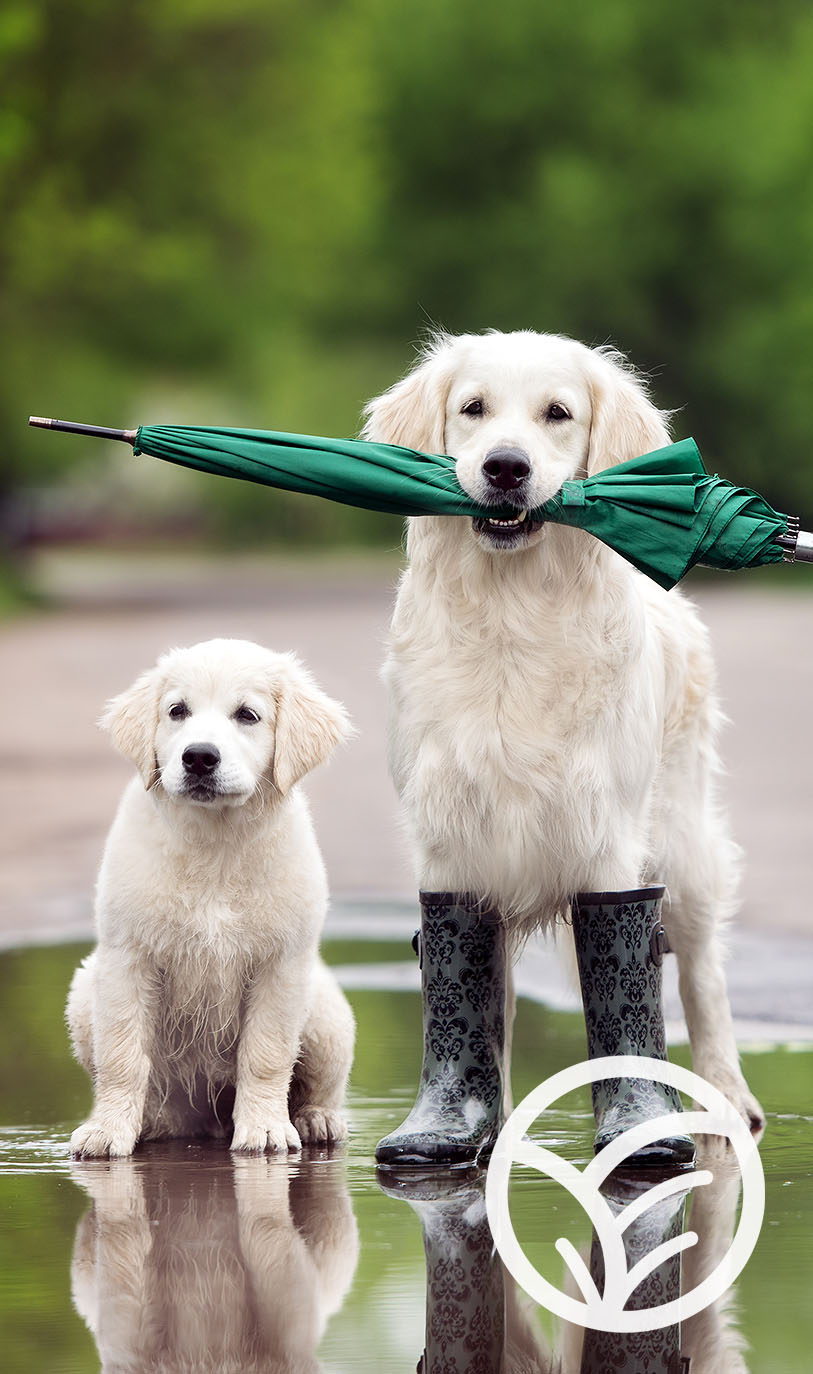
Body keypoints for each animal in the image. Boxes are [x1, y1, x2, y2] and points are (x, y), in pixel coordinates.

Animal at [70, 637, 359, 1154]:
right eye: (177, 711)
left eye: (247, 715)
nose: (200, 757)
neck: (216, 844)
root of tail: (204, 1124)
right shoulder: (127, 958)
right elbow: (122, 1056)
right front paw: (107, 1132)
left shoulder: (280, 964)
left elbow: (266, 1055)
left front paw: (264, 1129)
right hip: (86, 990)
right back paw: (149, 1124)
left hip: (327, 1015)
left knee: (319, 1082)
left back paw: (316, 1120)